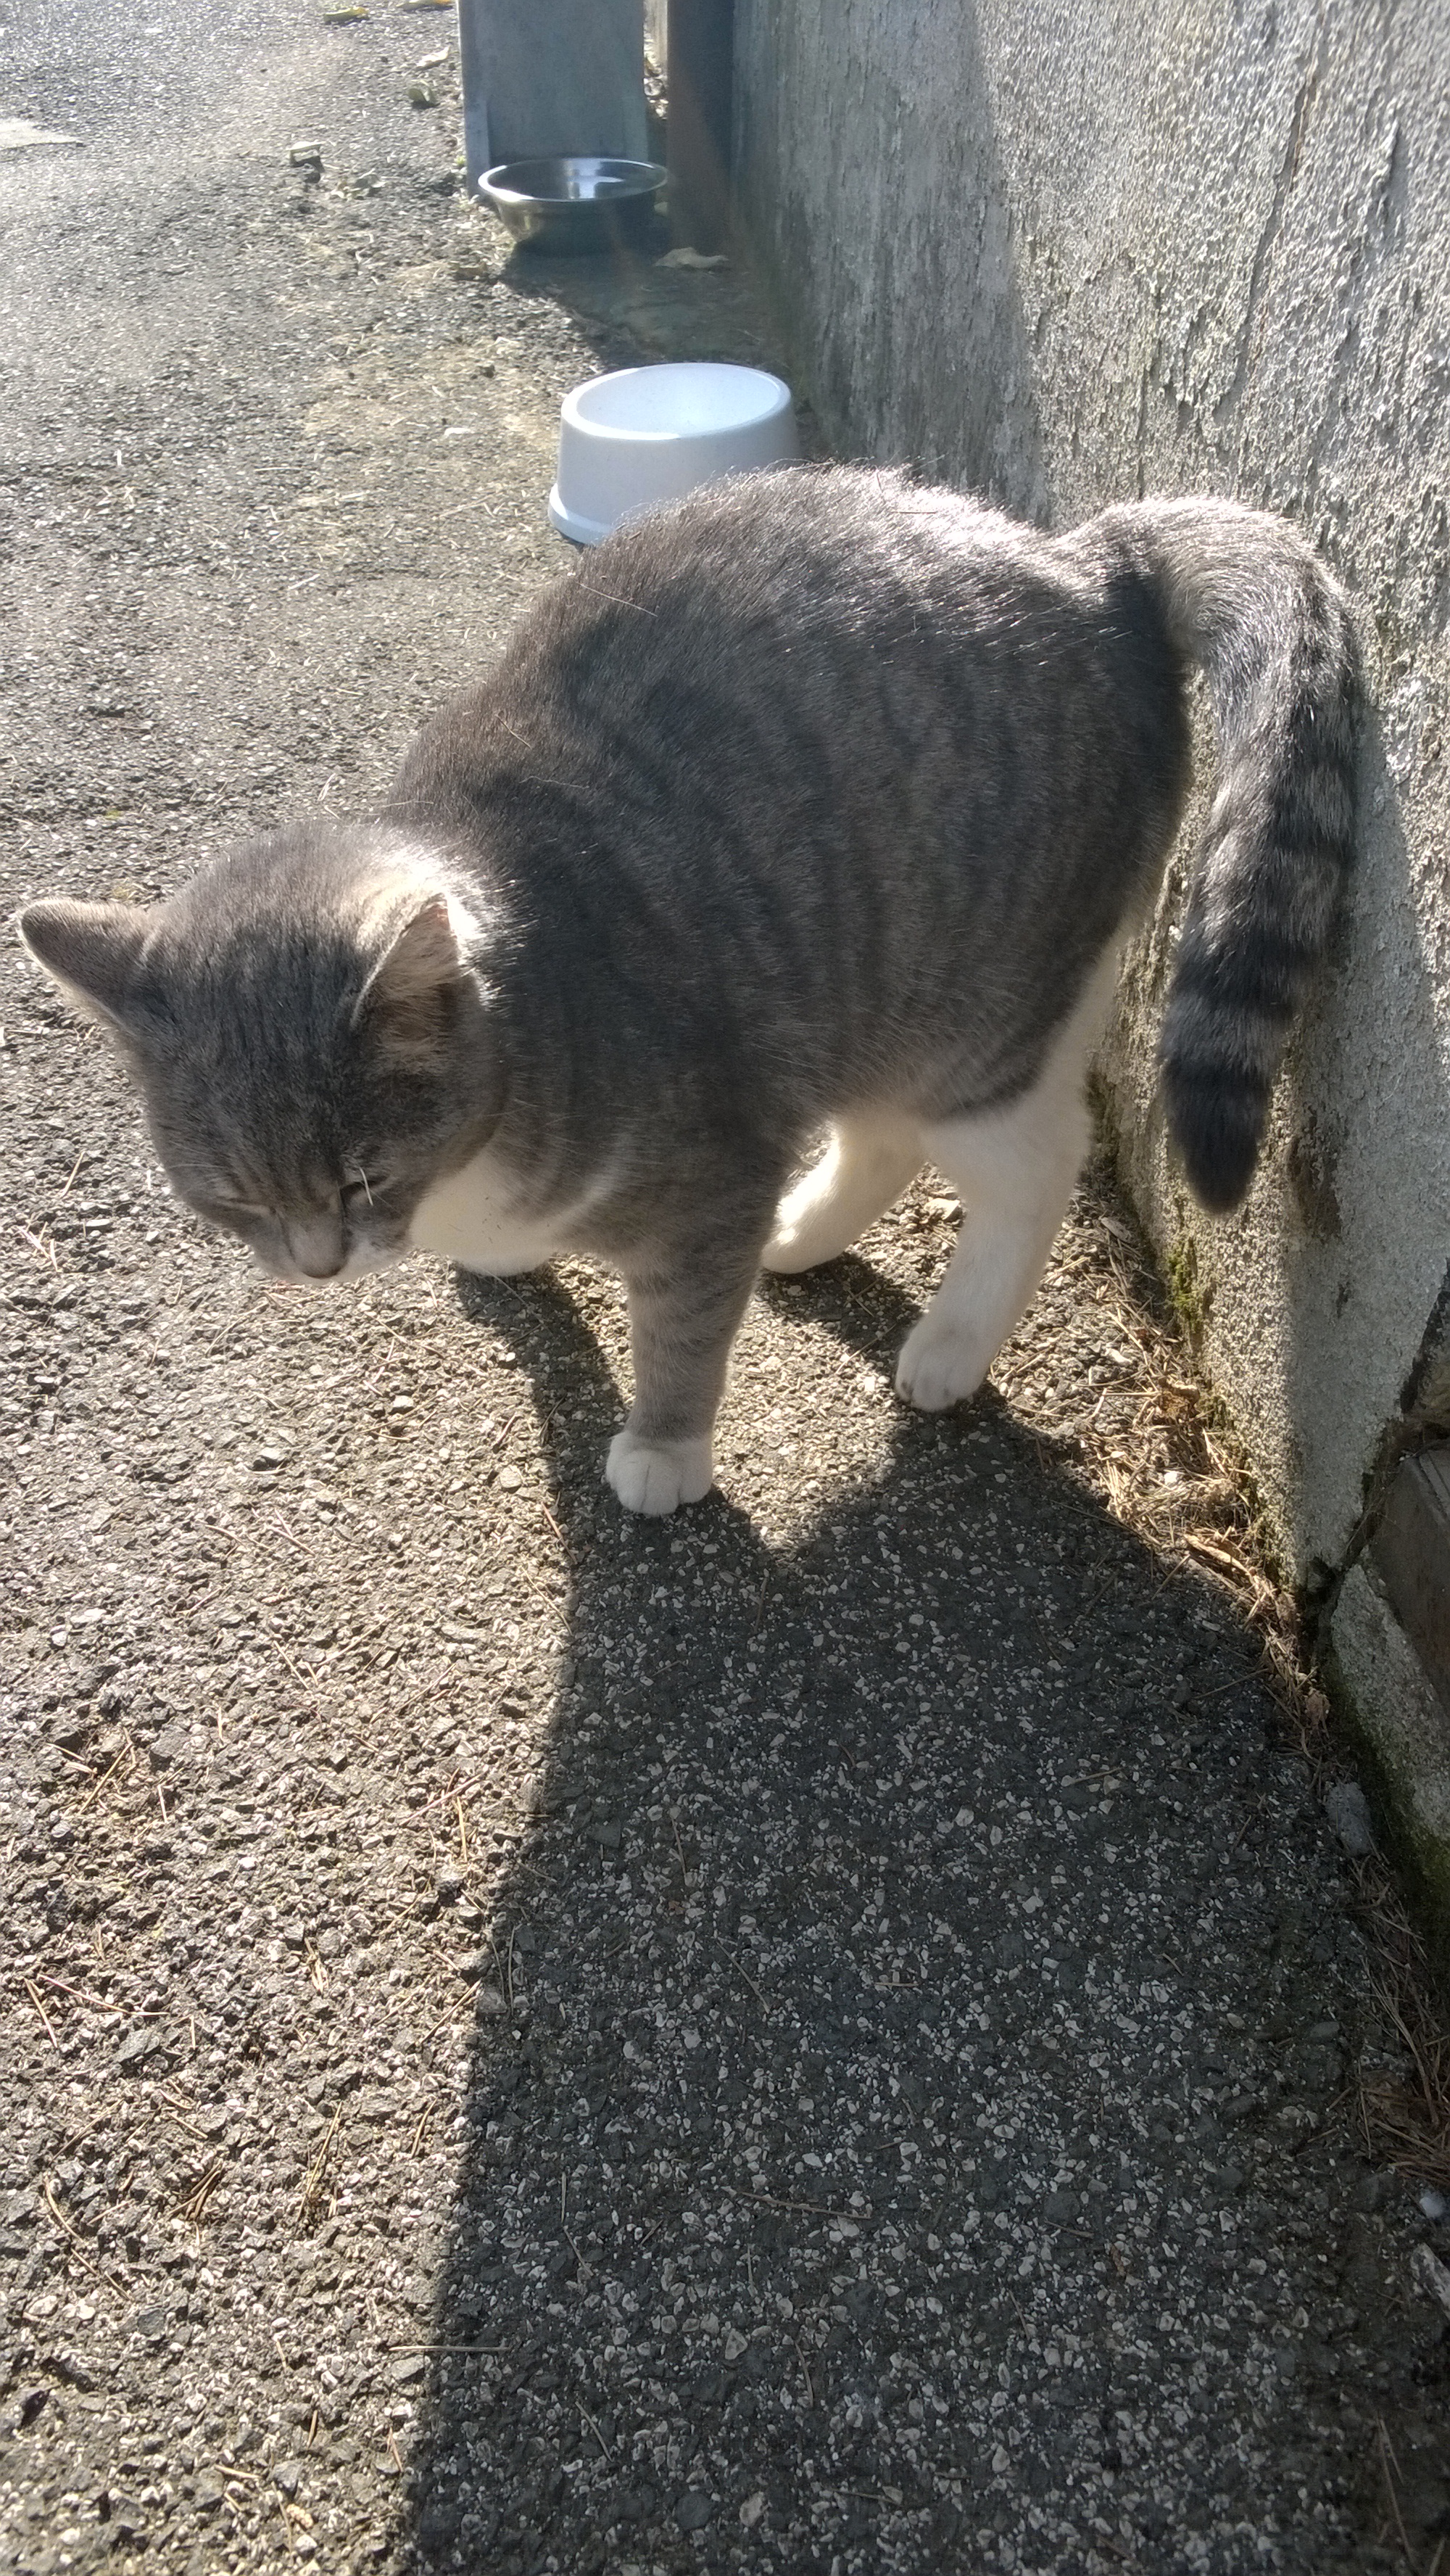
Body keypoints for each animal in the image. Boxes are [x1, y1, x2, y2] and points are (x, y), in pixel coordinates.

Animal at [18, 464, 1360, 1514]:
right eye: (233, 1199)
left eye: (362, 1176)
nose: (315, 1267)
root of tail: (1089, 563)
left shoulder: (707, 1173)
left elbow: (680, 1330)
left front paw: (665, 1451)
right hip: (853, 975)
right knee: (875, 1131)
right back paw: (805, 1232)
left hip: (977, 1018)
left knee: (1033, 1167)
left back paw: (950, 1343)